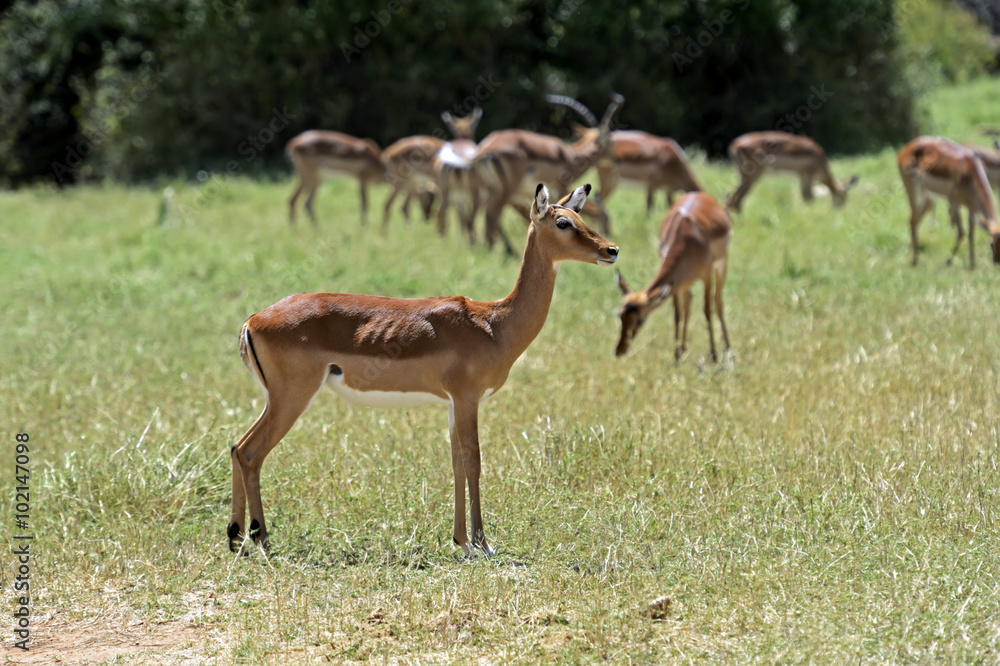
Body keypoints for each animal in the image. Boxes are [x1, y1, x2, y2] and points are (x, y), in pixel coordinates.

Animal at [228, 184, 619, 557]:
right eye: (563, 222)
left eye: (579, 216)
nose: (612, 250)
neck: (494, 324)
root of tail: (253, 320)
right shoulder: (467, 398)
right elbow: (474, 461)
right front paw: (483, 544)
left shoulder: (452, 404)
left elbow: (457, 463)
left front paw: (461, 541)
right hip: (292, 398)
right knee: (250, 452)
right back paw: (260, 538)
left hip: (277, 399)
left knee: (237, 448)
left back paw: (236, 538)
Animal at [475, 94, 624, 253]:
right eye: (610, 141)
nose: (615, 160)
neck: (570, 157)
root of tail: (488, 148)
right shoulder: (561, 187)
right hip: (507, 190)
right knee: (492, 213)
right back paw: (499, 249)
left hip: (493, 189)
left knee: (489, 214)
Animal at [615, 192, 732, 361]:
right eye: (620, 315)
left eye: (639, 319)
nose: (619, 351)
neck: (688, 238)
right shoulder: (675, 283)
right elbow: (677, 314)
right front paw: (676, 357)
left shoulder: (706, 275)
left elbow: (707, 311)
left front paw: (714, 355)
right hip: (684, 281)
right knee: (688, 302)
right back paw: (683, 349)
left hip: (721, 266)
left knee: (718, 301)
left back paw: (728, 347)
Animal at [725, 131, 858, 213]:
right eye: (844, 196)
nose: (839, 209)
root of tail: (735, 144)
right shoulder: (809, 175)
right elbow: (809, 197)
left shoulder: (801, 176)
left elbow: (804, 196)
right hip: (753, 176)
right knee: (736, 200)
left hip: (742, 176)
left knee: (730, 198)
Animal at [898, 136, 1000, 267]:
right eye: (991, 244)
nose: (996, 262)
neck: (969, 173)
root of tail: (908, 146)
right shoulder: (954, 203)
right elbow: (961, 233)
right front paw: (948, 262)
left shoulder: (972, 208)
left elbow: (971, 234)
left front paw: (972, 264)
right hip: (914, 194)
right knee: (912, 220)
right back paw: (915, 261)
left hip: (928, 197)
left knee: (916, 221)